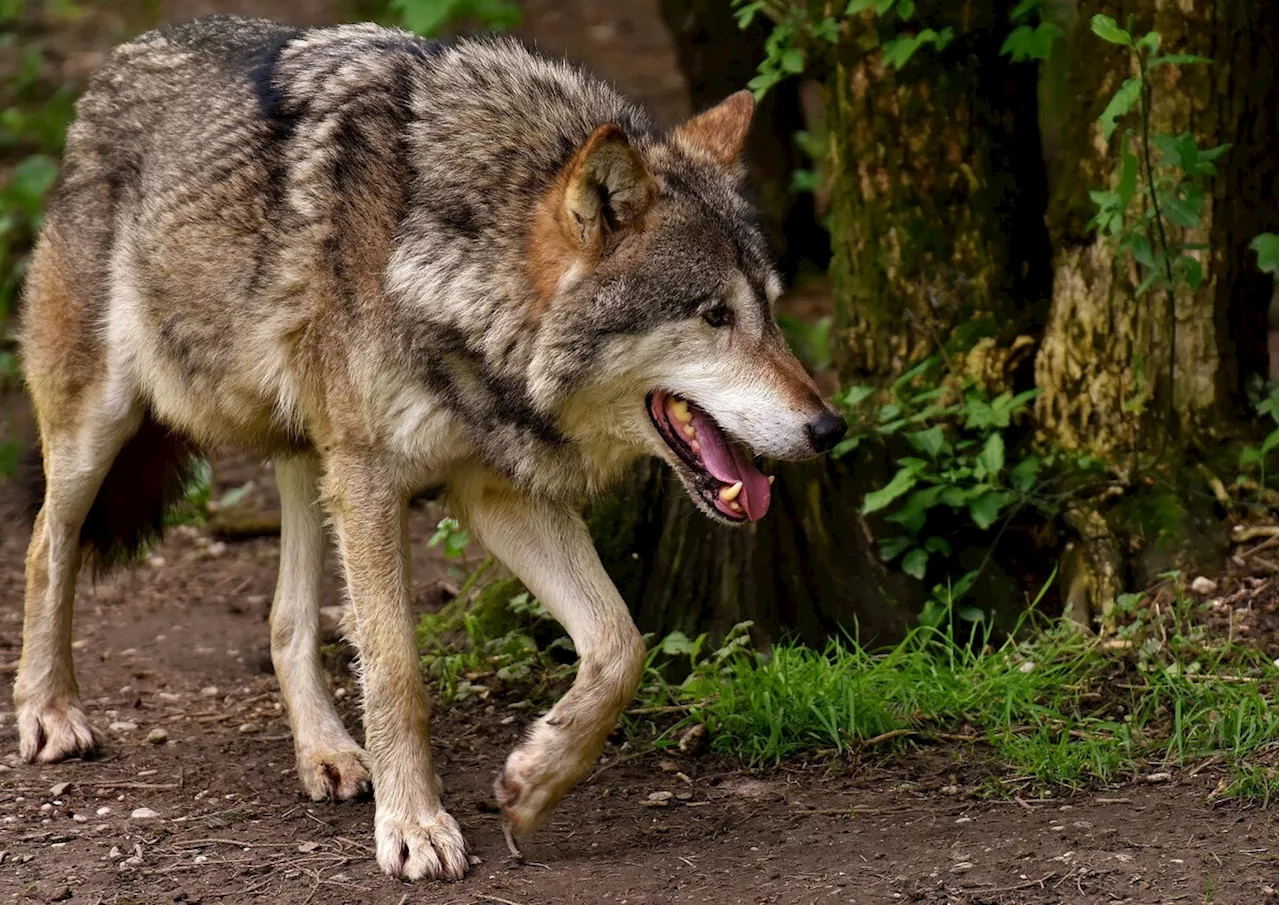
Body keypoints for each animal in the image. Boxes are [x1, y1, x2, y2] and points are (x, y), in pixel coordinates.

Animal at [12, 17, 849, 880]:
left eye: (772, 311)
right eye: (714, 315)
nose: (829, 428)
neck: (455, 269)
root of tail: (121, 59)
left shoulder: (495, 492)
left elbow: (621, 645)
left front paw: (534, 781)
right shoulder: (375, 480)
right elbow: (397, 670)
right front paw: (413, 824)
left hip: (310, 455)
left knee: (285, 618)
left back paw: (328, 753)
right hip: (104, 426)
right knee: (46, 544)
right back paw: (49, 711)